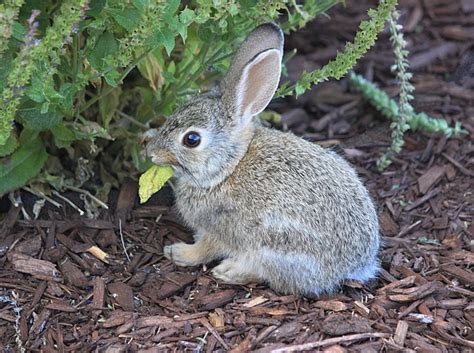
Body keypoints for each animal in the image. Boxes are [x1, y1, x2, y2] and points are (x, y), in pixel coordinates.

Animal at [144, 22, 382, 294]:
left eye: (191, 139)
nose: (152, 152)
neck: (228, 168)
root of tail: (358, 266)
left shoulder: (218, 230)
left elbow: (204, 250)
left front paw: (178, 253)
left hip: (276, 247)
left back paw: (229, 271)